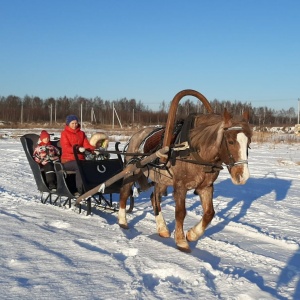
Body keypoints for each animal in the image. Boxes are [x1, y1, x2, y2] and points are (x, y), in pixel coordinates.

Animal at [118, 109, 252, 252]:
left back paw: (162, 228)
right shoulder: (180, 186)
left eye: (248, 143)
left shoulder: (206, 187)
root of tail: (136, 134)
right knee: (125, 193)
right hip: (132, 171)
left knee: (154, 198)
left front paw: (193, 234)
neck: (194, 150)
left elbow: (209, 213)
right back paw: (122, 221)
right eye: (231, 141)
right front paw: (181, 240)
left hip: (161, 179)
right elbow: (180, 213)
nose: (242, 176)